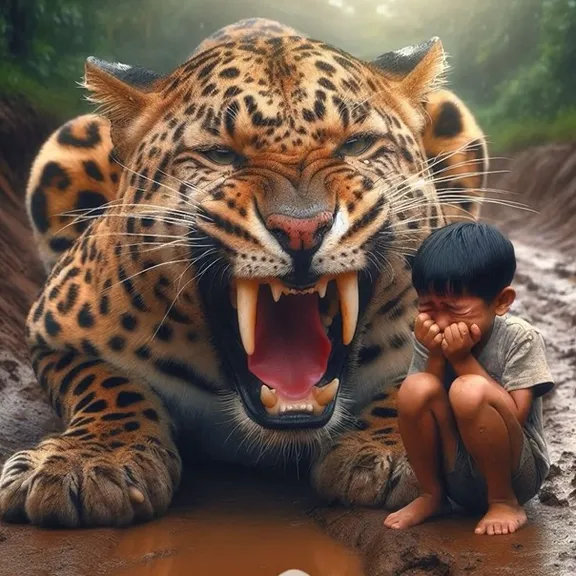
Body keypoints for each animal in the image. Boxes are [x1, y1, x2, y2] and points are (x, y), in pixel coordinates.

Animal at [0, 19, 488, 528]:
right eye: (219, 155)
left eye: (355, 145)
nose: (302, 228)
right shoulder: (53, 333)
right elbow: (109, 386)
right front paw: (88, 461)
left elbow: (416, 380)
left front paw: (389, 451)